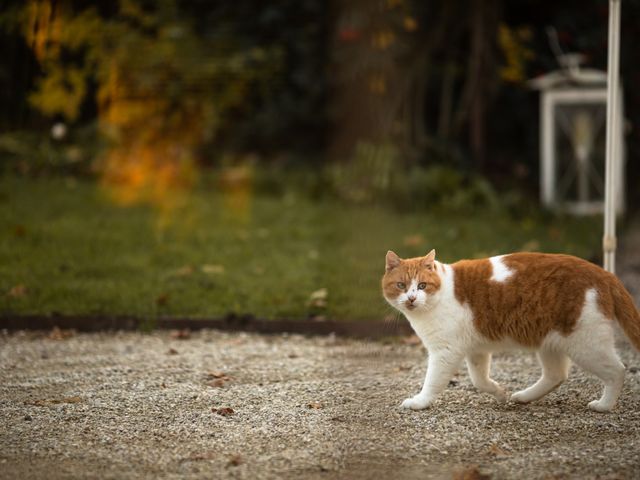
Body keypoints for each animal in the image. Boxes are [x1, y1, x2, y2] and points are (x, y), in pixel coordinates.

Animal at [382, 249, 636, 410]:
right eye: (401, 285)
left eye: (422, 285)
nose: (411, 298)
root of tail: (603, 273)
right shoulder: (476, 350)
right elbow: (479, 380)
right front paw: (499, 393)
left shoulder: (445, 352)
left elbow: (432, 381)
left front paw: (419, 402)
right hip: (550, 340)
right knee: (556, 375)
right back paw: (523, 396)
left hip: (585, 344)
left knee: (617, 370)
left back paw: (604, 406)